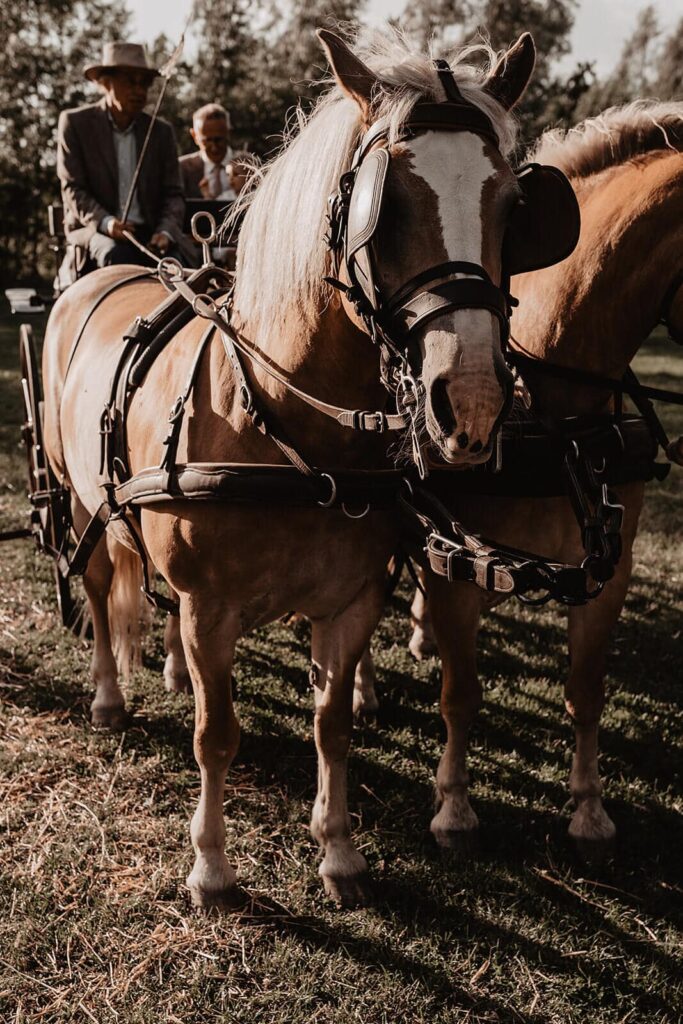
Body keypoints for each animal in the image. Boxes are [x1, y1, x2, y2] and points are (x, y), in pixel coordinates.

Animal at [41, 28, 540, 909]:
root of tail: (103, 272)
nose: (475, 401)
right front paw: (210, 867)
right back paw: (107, 694)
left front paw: (337, 850)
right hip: (77, 499)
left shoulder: (348, 602)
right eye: (385, 206)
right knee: (99, 591)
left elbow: (330, 725)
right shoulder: (211, 609)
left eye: (511, 207)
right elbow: (217, 733)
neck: (287, 431)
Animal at [393, 101, 679, 856]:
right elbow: (460, 693)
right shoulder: (453, 566)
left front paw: (587, 807)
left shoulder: (610, 567)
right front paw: (454, 806)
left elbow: (585, 690)